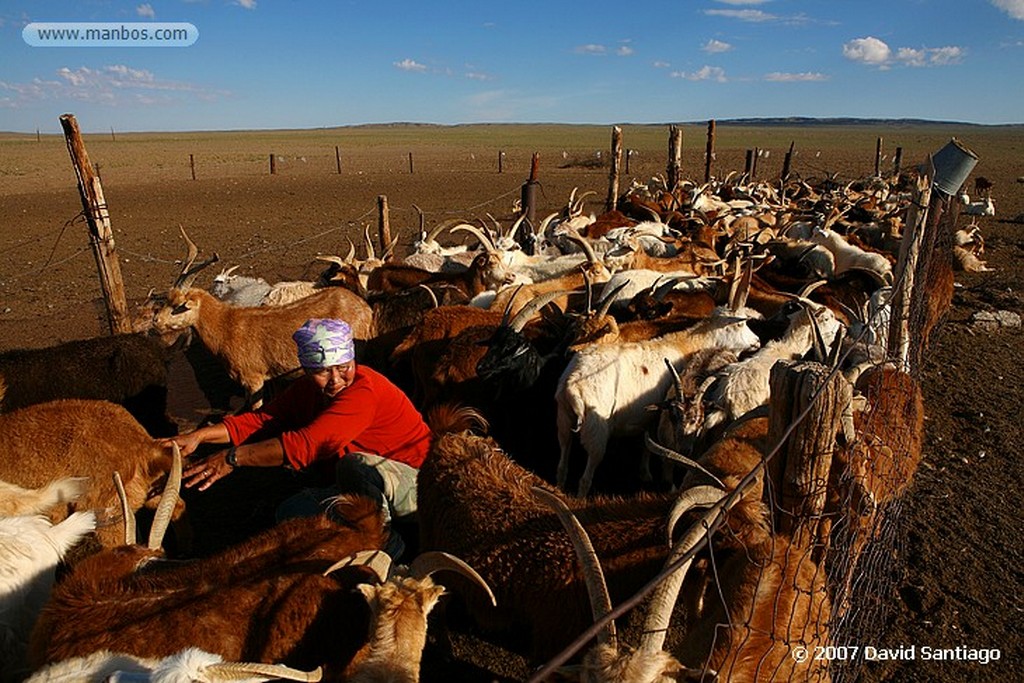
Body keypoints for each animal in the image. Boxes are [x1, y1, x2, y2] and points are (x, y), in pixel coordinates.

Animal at [552, 313, 761, 497]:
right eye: (740, 324)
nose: (758, 341)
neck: (687, 345)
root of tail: (572, 384)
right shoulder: (662, 417)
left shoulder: (651, 415)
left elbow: (647, 443)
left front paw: (644, 472)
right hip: (596, 429)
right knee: (586, 476)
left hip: (563, 417)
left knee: (562, 460)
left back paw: (559, 489)